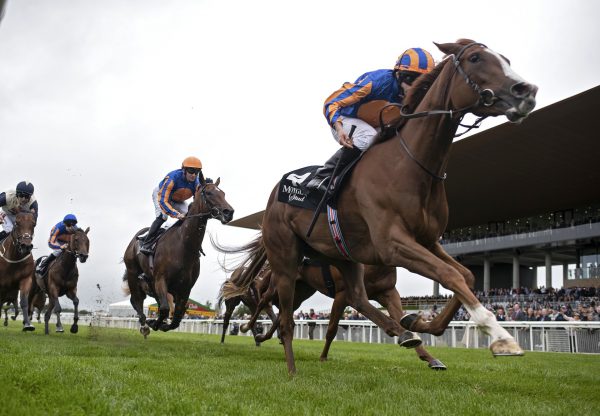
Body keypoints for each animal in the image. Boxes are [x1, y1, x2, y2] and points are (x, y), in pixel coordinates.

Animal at [123, 177, 233, 336]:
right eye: (209, 193)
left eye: (223, 193)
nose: (229, 212)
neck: (183, 247)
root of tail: (137, 237)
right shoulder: (161, 279)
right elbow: (164, 309)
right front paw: (153, 323)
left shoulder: (185, 288)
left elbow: (177, 315)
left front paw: (162, 324)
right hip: (133, 273)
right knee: (136, 299)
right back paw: (144, 325)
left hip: (150, 282)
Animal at [229, 40, 536, 376]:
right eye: (475, 58)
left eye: (506, 59)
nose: (527, 90)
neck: (410, 164)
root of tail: (273, 197)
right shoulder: (392, 243)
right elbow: (449, 276)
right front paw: (501, 336)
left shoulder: (427, 241)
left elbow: (465, 276)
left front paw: (418, 322)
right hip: (284, 261)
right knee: (281, 315)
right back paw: (285, 362)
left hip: (342, 257)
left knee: (357, 297)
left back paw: (401, 331)